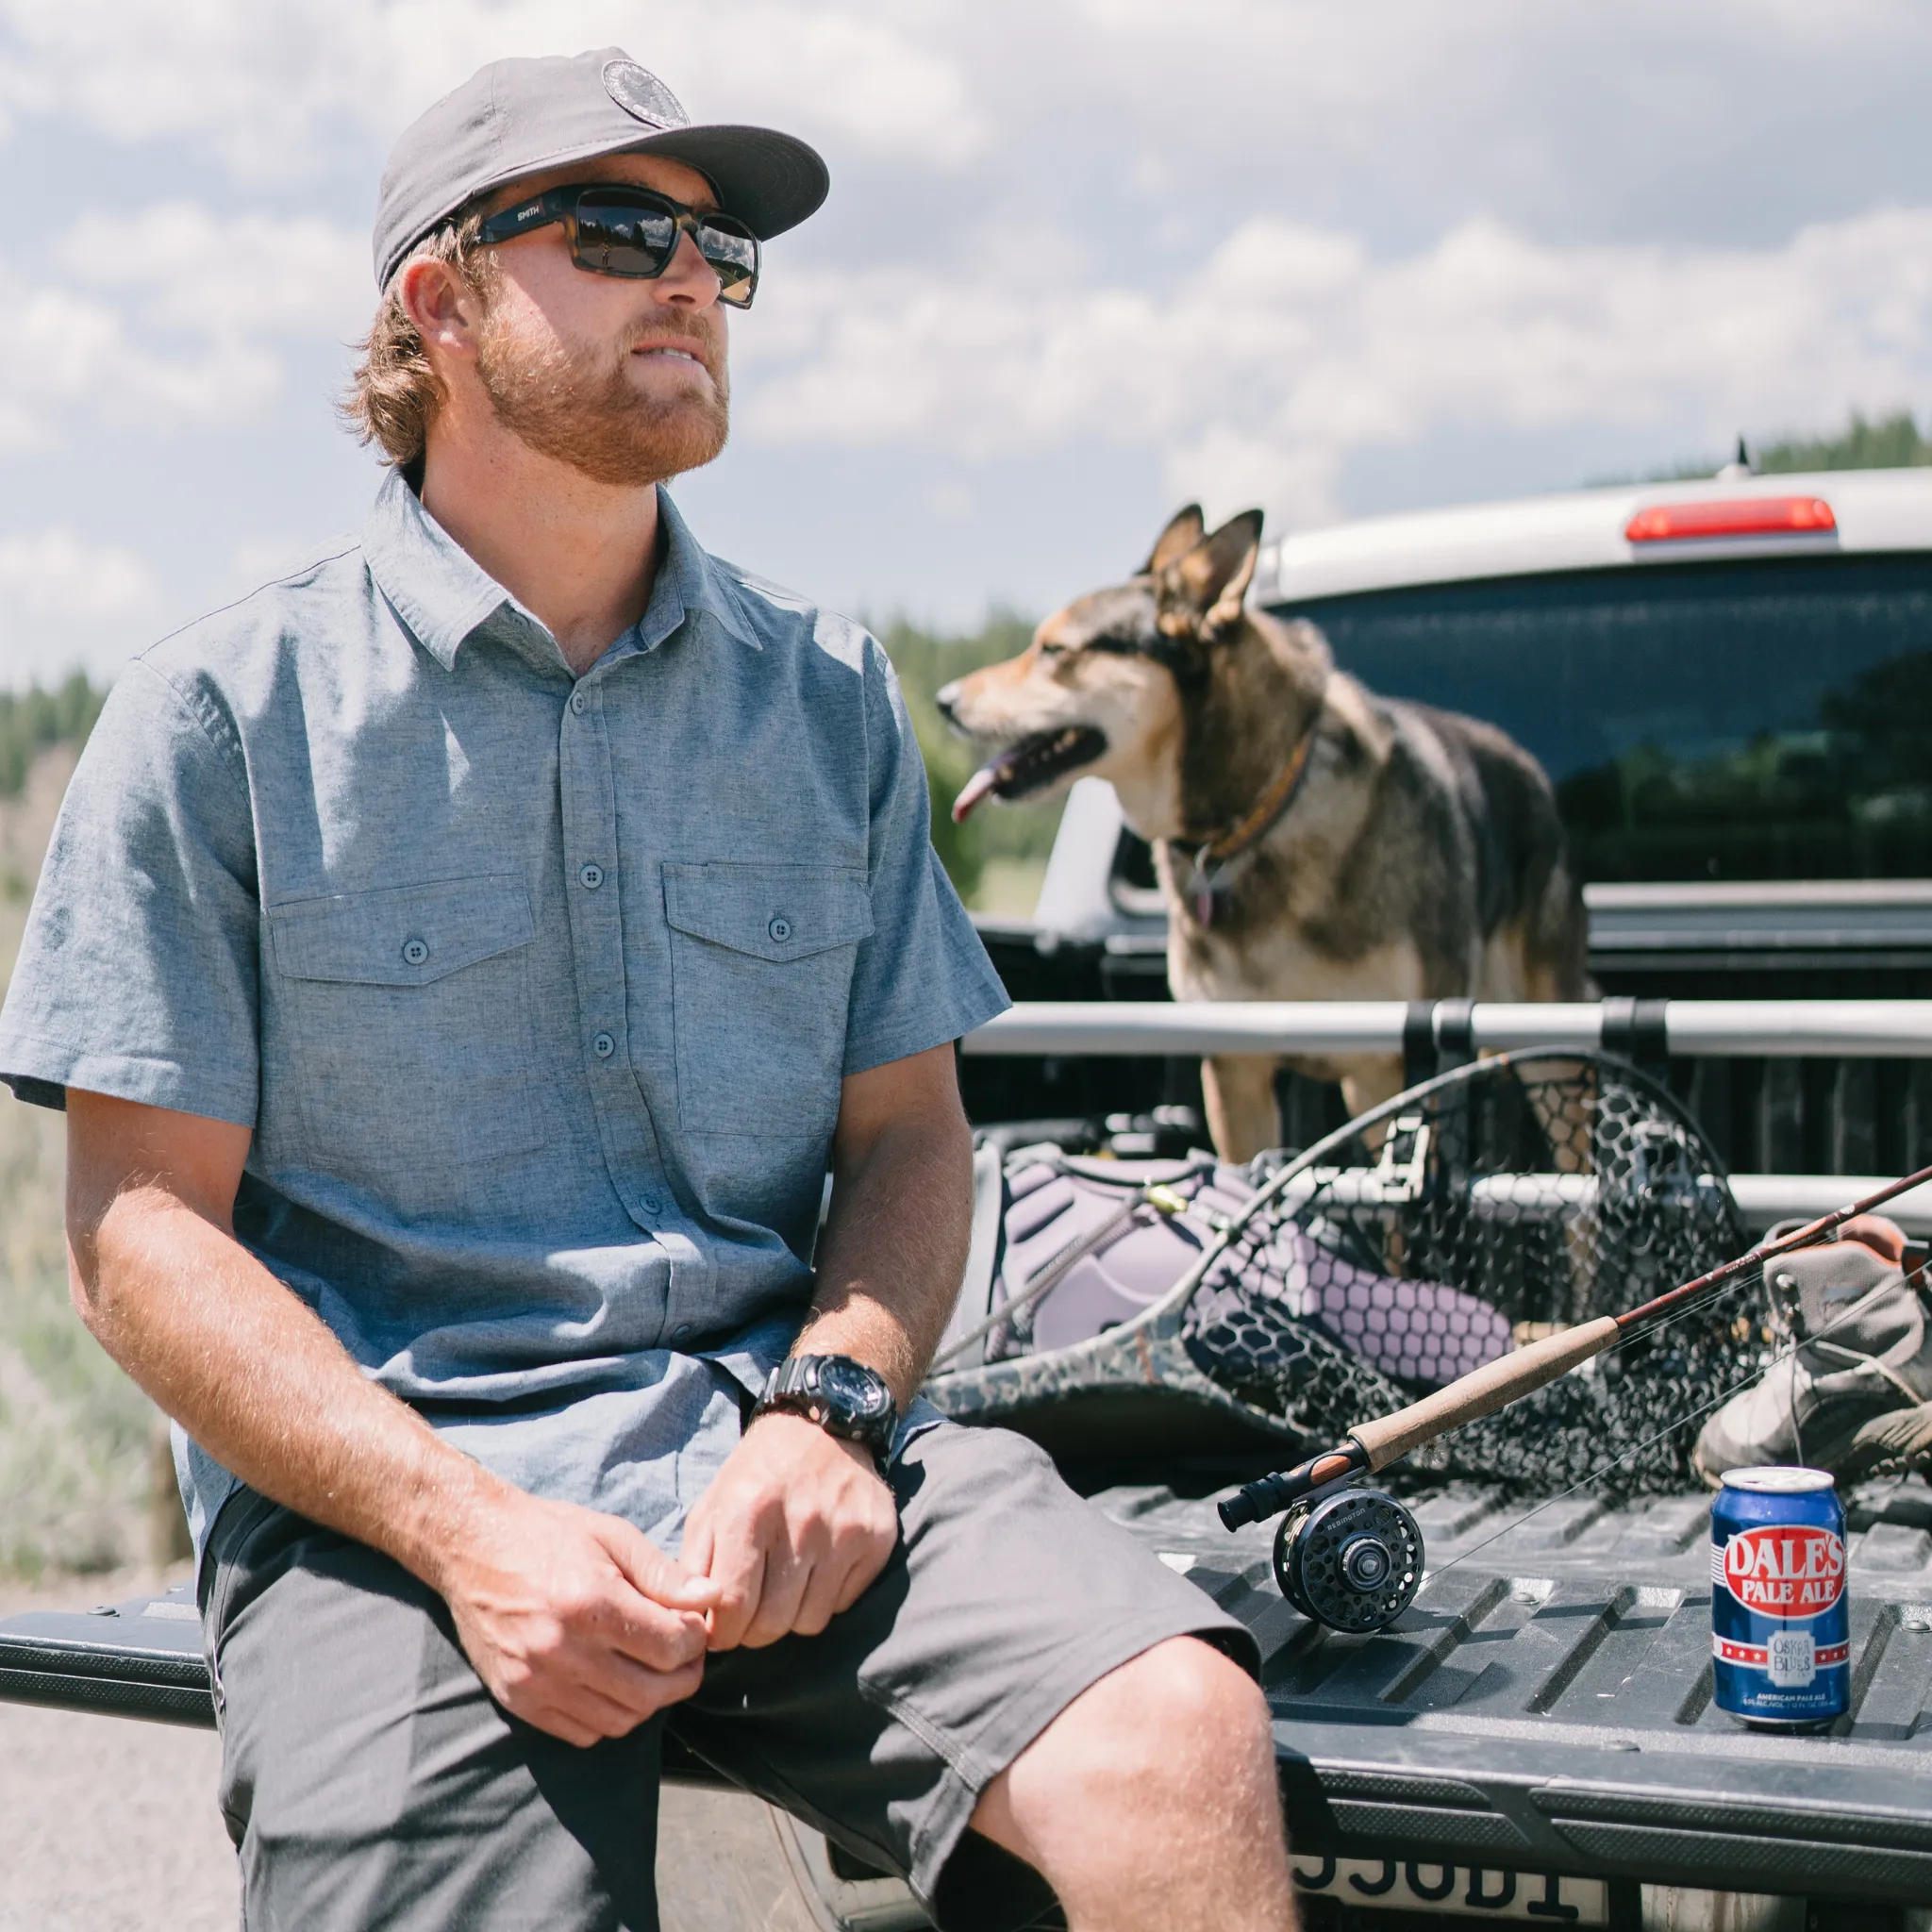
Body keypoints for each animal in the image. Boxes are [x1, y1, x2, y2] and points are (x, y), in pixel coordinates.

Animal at [935, 502, 1584, 1158]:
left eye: (1054, 650)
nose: (943, 699)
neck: (1252, 817)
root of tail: (1523, 761)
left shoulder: (1391, 1070)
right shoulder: (1236, 1069)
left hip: (1545, 1050)